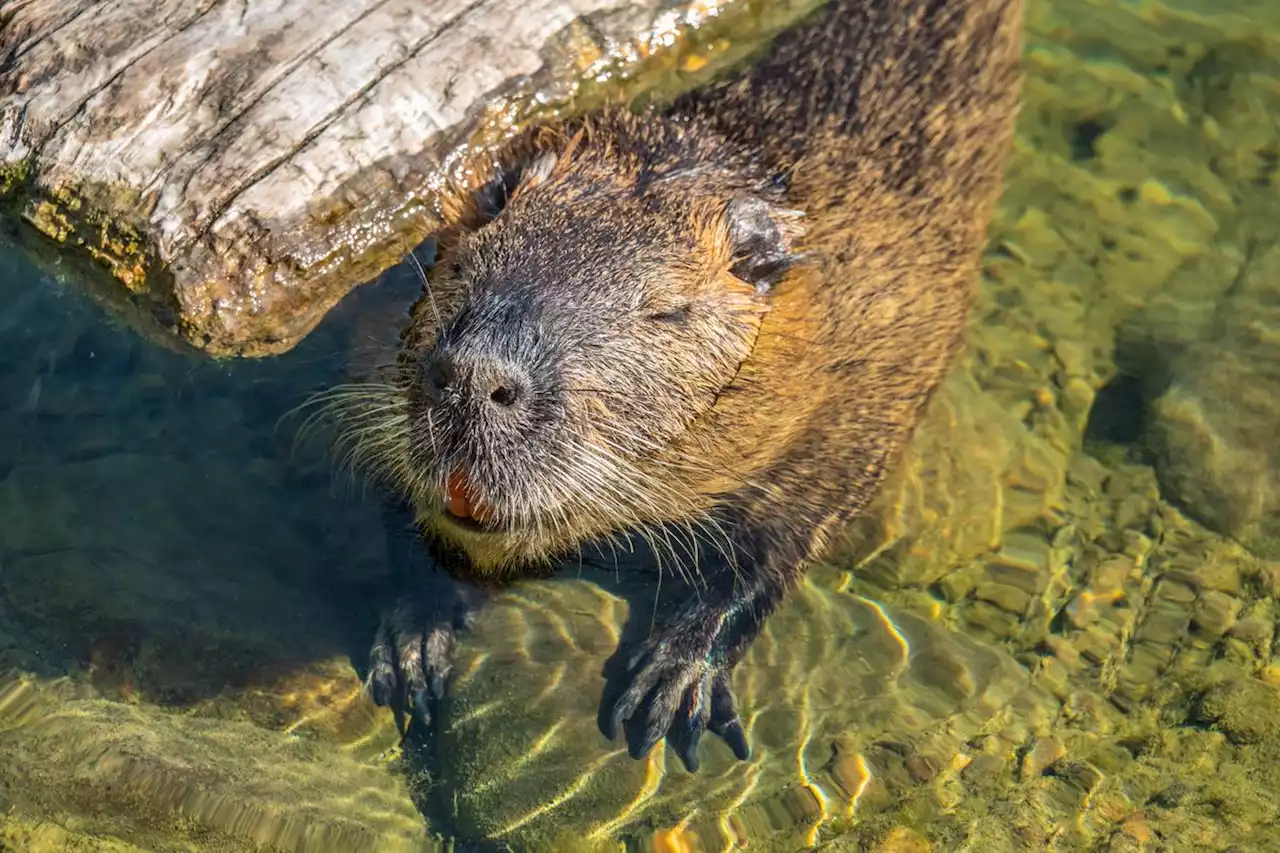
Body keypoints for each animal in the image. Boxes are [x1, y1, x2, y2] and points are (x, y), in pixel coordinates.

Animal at [335, 0, 1024, 768]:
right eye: (476, 239)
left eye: (667, 309)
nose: (476, 376)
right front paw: (414, 647)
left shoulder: (858, 403)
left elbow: (777, 550)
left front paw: (666, 688)